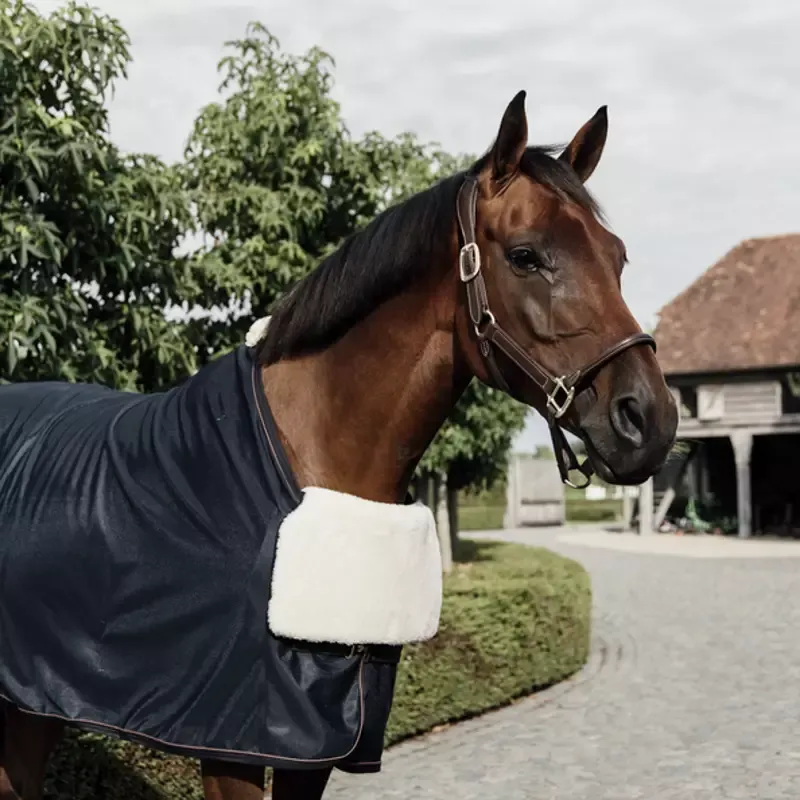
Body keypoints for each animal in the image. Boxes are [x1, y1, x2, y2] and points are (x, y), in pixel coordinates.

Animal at [0, 91, 678, 800]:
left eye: (617, 257)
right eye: (525, 255)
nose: (648, 419)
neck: (305, 464)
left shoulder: (320, 740)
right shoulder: (236, 745)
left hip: (37, 697)